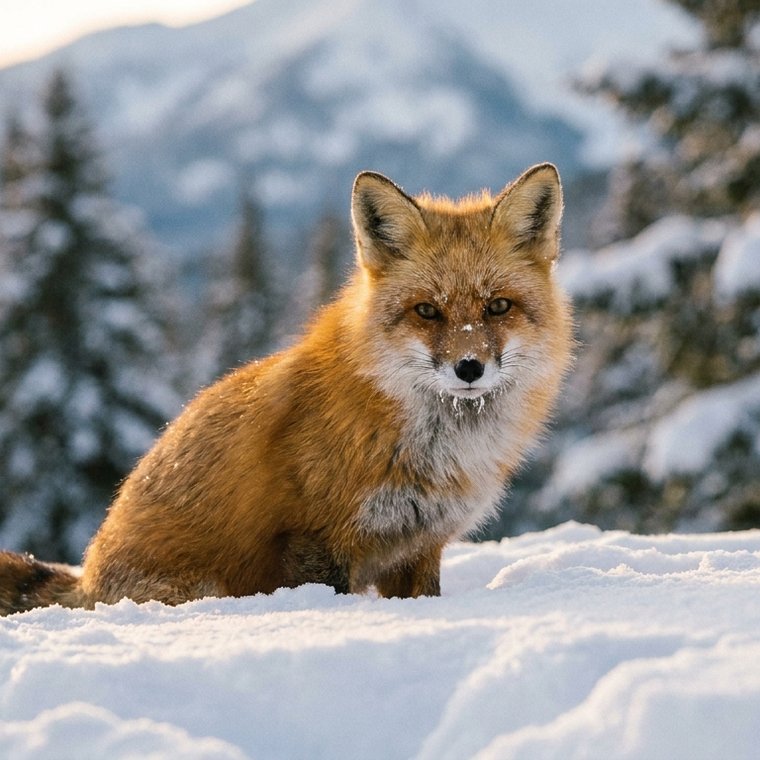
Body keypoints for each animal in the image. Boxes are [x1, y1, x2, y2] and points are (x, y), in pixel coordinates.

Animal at [0, 163, 572, 614]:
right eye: (427, 311)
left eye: (497, 306)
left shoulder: (417, 548)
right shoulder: (313, 537)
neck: (427, 447)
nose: (469, 368)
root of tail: (87, 583)